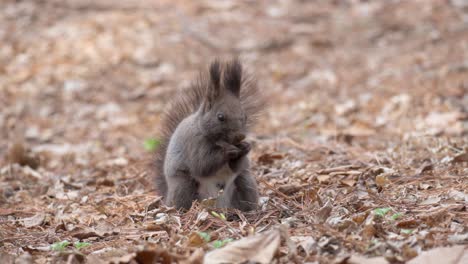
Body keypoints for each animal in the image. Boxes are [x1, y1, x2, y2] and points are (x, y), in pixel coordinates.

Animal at [154, 58, 264, 211]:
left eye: (245, 116)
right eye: (220, 117)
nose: (240, 136)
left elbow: (236, 166)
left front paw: (246, 147)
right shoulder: (193, 142)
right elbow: (201, 165)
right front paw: (228, 151)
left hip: (245, 181)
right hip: (183, 185)